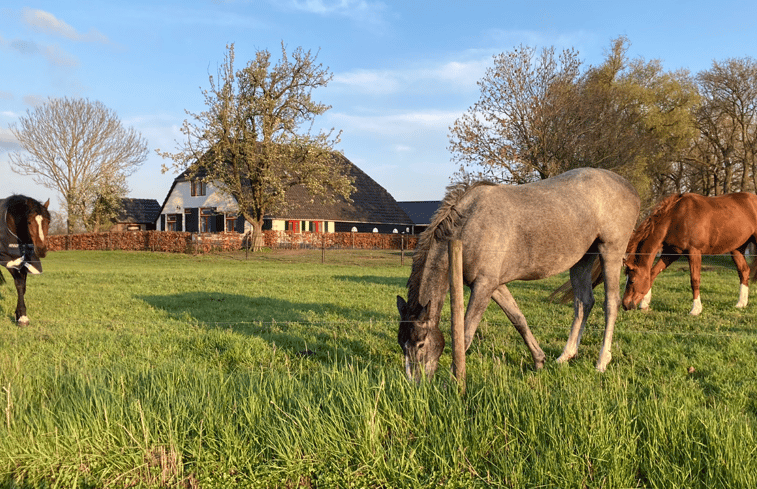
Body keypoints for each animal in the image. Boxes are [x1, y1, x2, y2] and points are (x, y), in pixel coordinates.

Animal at [0, 193, 50, 324]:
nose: (41, 250)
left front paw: (19, 315)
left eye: (48, 222)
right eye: (29, 222)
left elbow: (23, 287)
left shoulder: (25, 261)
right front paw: (22, 317)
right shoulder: (9, 260)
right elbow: (19, 284)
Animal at [396, 166, 636, 380]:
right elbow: (518, 319)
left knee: (610, 304)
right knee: (583, 303)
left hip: (610, 252)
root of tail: (628, 187)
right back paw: (565, 356)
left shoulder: (484, 286)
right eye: (401, 344)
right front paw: (539, 360)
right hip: (581, 261)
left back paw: (602, 362)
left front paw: (453, 380)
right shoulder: (494, 286)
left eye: (420, 343)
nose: (415, 383)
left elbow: (465, 334)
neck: (469, 223)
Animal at [620, 193, 756, 314]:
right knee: (744, 271)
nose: (625, 305)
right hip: (737, 249)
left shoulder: (694, 252)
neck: (676, 217)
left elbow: (694, 280)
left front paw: (696, 309)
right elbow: (652, 274)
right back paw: (741, 303)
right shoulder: (671, 253)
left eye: (632, 280)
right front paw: (644, 304)